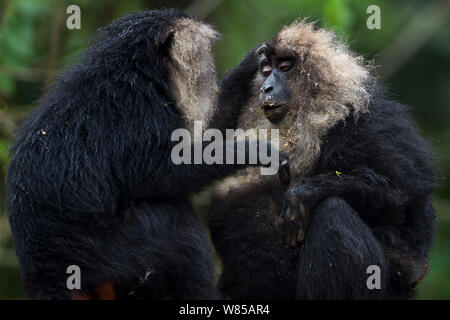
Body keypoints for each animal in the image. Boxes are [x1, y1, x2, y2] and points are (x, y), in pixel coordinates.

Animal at [5, 10, 288, 300]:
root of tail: (46, 277)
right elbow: (161, 175)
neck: (139, 72)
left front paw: (249, 65)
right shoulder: (138, 108)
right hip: (110, 257)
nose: (210, 70)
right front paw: (247, 152)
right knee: (173, 219)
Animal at [208, 20, 436, 300]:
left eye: (285, 68)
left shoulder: (366, 122)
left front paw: (303, 193)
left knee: (333, 210)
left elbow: (398, 196)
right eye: (266, 72)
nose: (265, 88)